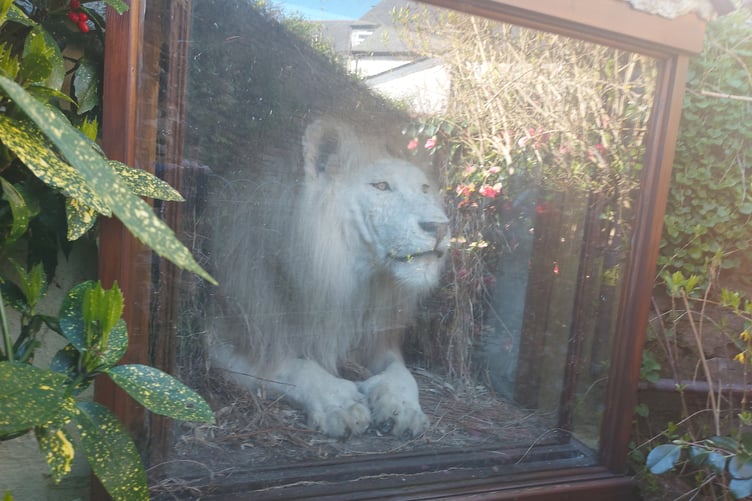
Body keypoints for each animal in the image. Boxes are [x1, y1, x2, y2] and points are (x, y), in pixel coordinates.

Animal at [208, 117, 450, 439]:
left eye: (424, 189)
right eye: (381, 186)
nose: (440, 227)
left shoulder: (374, 338)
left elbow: (403, 373)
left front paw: (402, 407)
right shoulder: (224, 335)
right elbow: (294, 367)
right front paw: (341, 404)